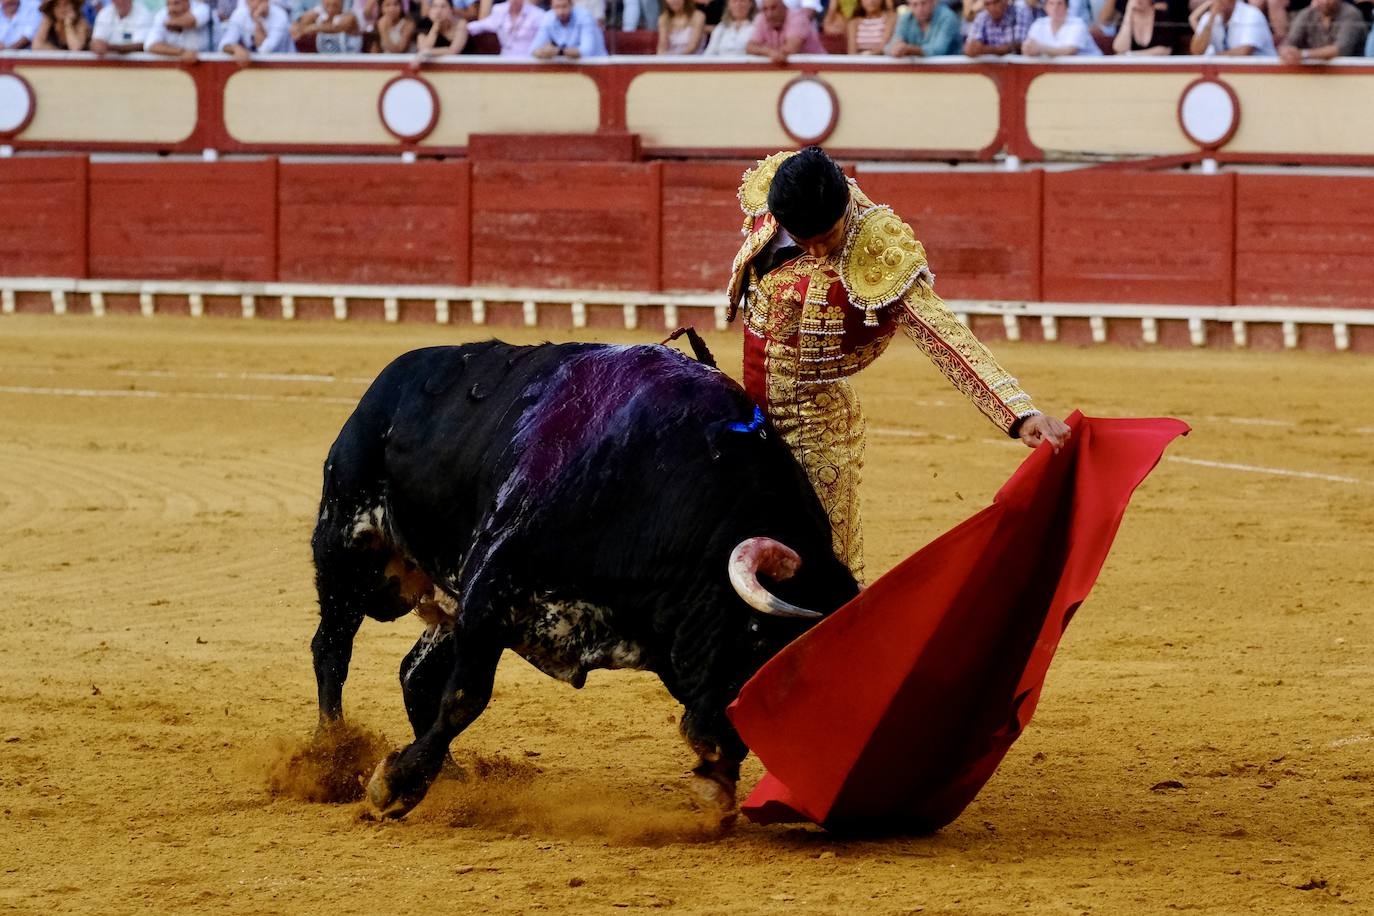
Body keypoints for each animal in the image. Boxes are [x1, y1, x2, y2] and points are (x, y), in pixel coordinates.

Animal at [311, 341, 857, 818]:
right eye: (757, 636)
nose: (721, 740)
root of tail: (389, 380)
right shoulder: (488, 590)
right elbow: (466, 698)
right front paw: (392, 786)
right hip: (346, 545)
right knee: (332, 647)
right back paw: (331, 759)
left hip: (440, 597)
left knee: (412, 672)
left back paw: (448, 774)